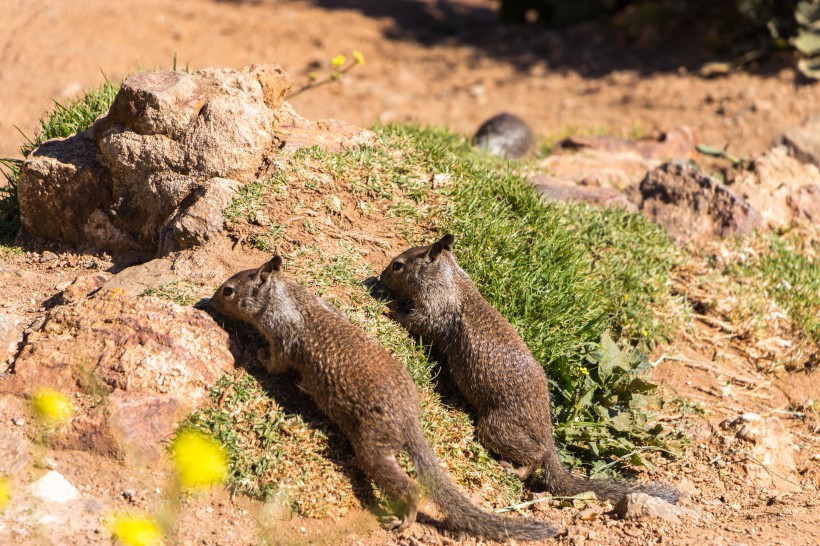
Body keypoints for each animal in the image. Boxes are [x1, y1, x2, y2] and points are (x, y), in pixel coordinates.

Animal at [210, 255, 556, 540]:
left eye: (228, 291)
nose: (209, 300)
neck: (287, 297)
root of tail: (410, 420)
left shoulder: (283, 338)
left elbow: (277, 362)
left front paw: (259, 355)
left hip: (372, 447)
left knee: (410, 487)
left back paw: (405, 519)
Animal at [378, 234, 680, 502]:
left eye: (397, 265)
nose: (380, 277)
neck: (452, 279)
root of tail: (547, 435)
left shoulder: (434, 311)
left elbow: (416, 321)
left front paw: (389, 308)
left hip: (495, 428)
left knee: (535, 457)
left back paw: (513, 469)